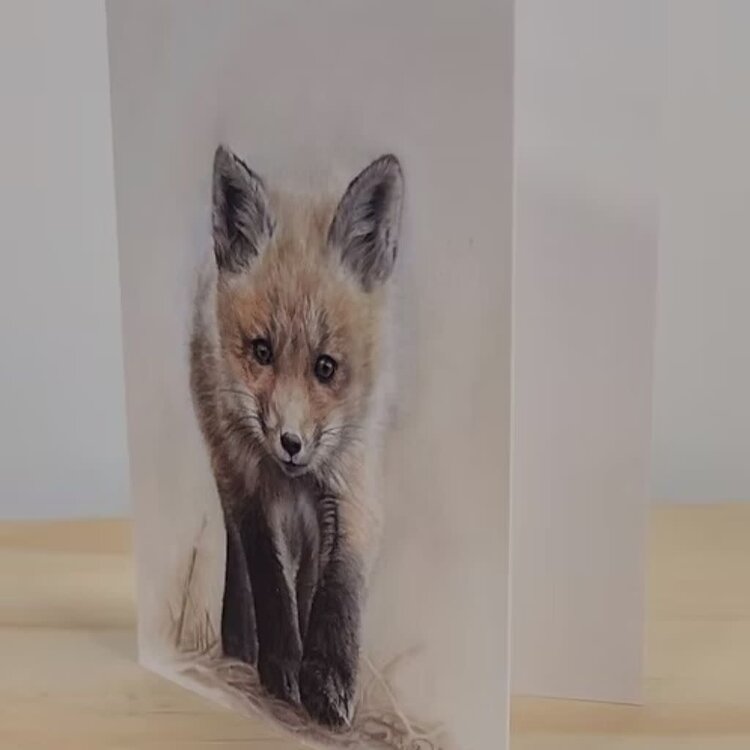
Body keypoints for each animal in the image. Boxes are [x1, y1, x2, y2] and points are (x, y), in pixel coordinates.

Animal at [190, 145, 403, 728]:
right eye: (261, 351)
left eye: (325, 367)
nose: (289, 443)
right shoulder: (247, 478)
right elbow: (266, 572)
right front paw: (282, 665)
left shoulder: (353, 480)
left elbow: (339, 587)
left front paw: (326, 680)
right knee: (242, 558)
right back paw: (241, 644)